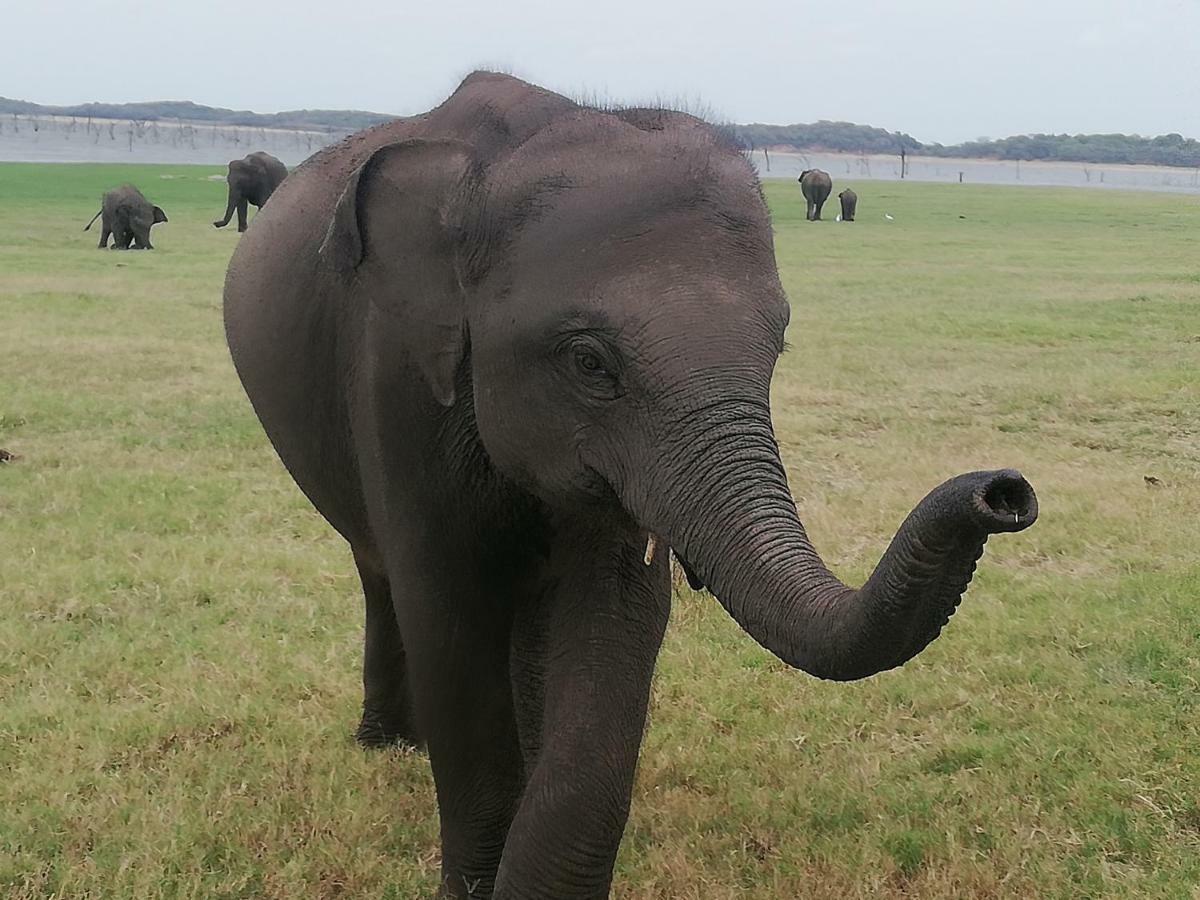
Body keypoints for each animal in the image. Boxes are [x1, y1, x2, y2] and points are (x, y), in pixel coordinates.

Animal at [220, 72, 1036, 900]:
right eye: (589, 362)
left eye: (778, 348)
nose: (1005, 492)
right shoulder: (396, 381)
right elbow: (448, 622)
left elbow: (613, 626)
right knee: (378, 569)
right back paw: (388, 744)